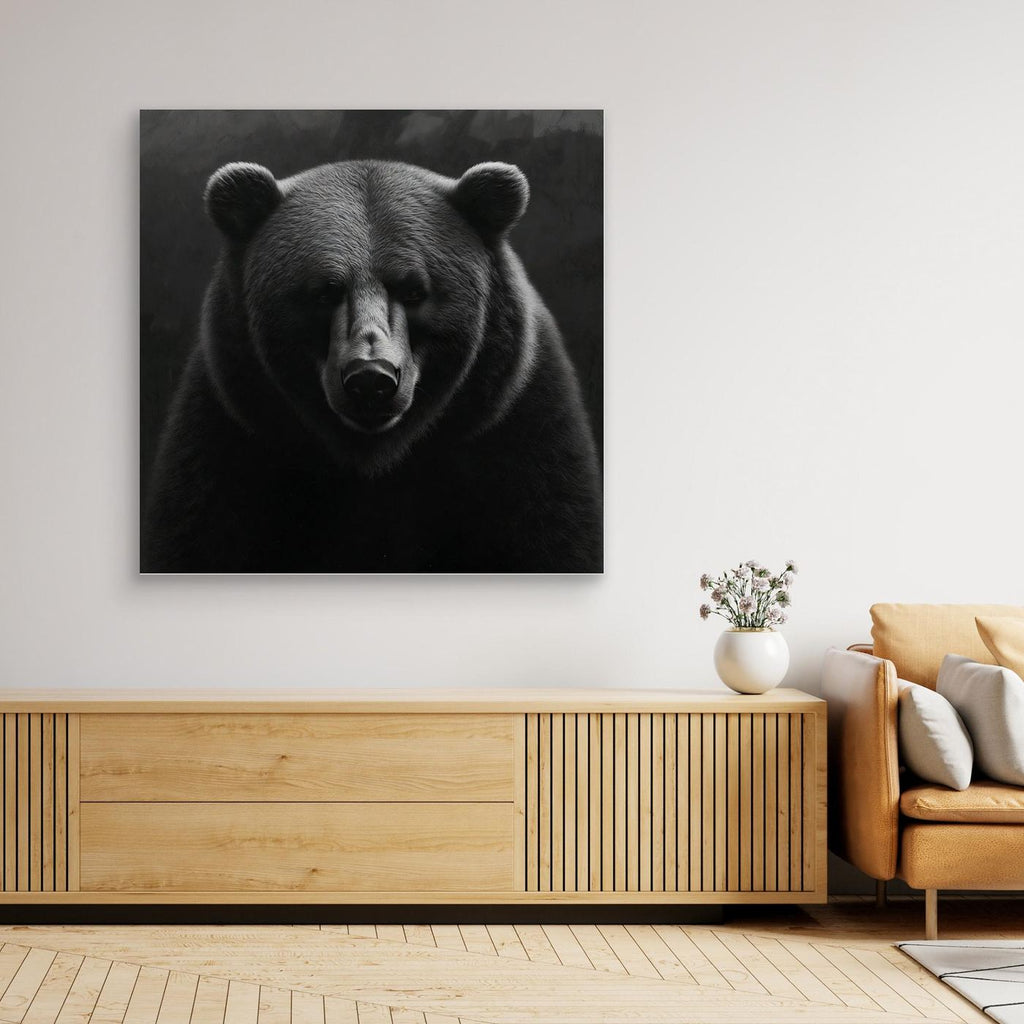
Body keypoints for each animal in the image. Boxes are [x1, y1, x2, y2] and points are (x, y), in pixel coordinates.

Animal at [141, 159, 602, 573]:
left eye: (414, 289)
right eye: (325, 290)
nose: (370, 379)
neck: (375, 460)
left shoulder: (514, 433)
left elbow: (553, 527)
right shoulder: (233, 437)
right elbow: (200, 531)